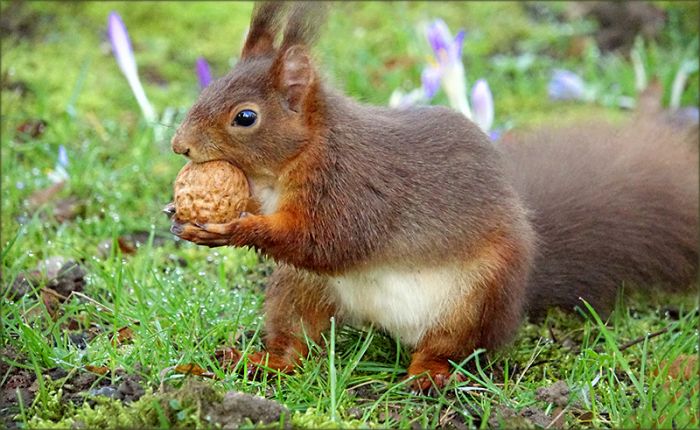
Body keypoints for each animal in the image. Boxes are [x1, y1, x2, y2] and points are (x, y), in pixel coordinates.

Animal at [170, 2, 699, 390]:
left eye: (245, 117)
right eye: (208, 89)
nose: (180, 145)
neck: (286, 166)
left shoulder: (352, 190)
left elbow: (328, 242)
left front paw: (236, 226)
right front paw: (183, 214)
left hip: (474, 300)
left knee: (455, 350)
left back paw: (429, 374)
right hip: (300, 289)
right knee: (297, 342)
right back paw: (261, 361)